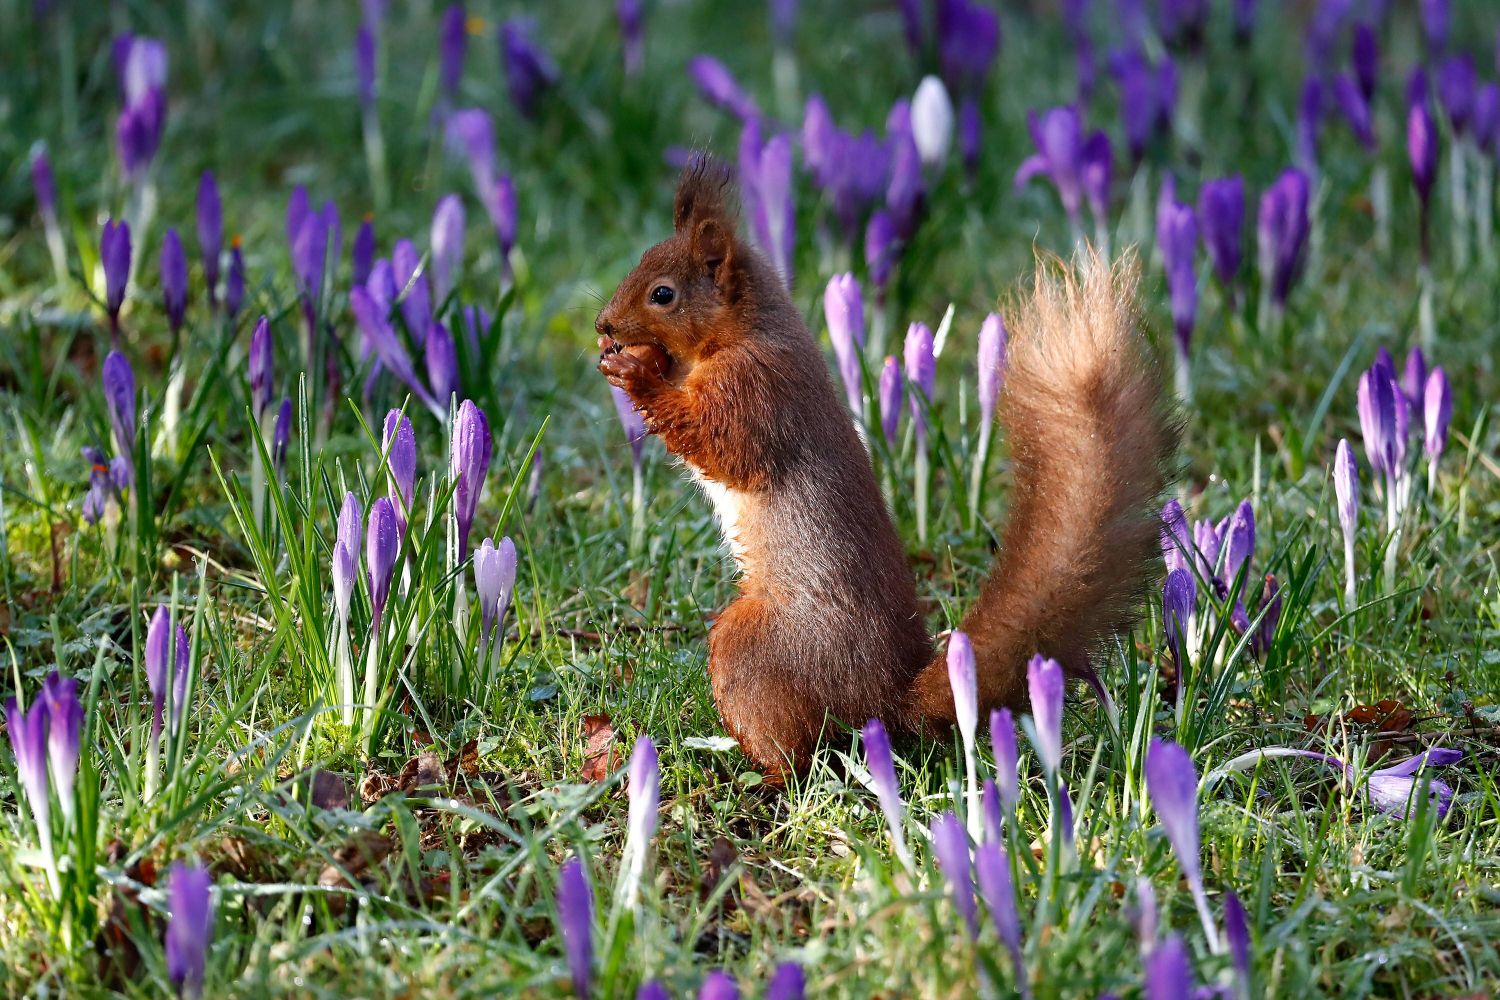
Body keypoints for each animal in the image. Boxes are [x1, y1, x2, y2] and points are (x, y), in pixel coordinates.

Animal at [594, 160, 1170, 779]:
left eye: (663, 294)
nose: (604, 326)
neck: (744, 329)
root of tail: (890, 699)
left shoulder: (757, 389)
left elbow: (721, 443)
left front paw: (637, 372)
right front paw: (643, 362)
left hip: (756, 649)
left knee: (801, 750)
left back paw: (764, 771)